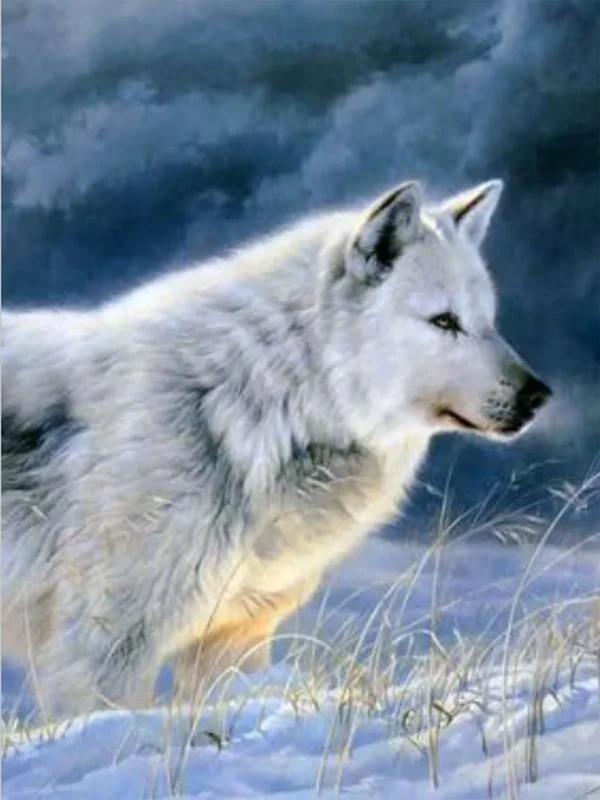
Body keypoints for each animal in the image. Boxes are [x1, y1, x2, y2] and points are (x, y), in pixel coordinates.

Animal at [2, 179, 551, 716]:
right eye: (444, 321)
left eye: (488, 320)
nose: (539, 395)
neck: (250, 407)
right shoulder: (101, 649)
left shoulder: (234, 637)